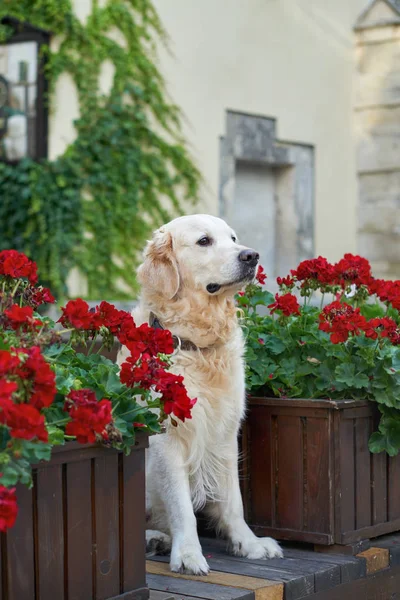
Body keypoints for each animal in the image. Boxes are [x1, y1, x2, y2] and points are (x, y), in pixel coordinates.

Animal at [117, 213, 282, 576]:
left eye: (233, 238)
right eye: (204, 241)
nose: (251, 256)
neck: (197, 344)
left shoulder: (225, 433)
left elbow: (233, 501)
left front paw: (248, 544)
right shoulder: (167, 438)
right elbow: (181, 506)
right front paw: (189, 554)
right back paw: (154, 539)